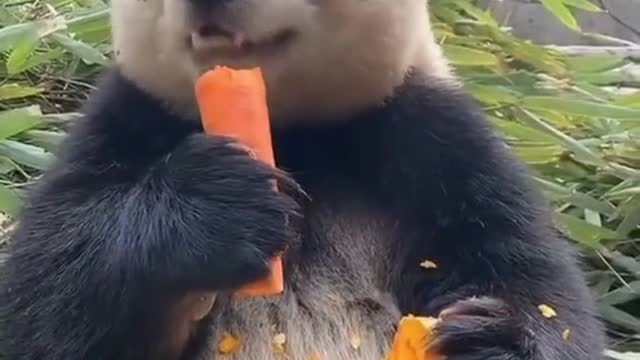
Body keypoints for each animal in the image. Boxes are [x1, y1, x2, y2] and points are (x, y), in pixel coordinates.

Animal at [0, 0, 604, 358]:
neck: (291, 129)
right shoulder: (125, 122)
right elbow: (46, 295)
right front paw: (222, 205)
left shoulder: (433, 139)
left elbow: (533, 278)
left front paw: (489, 336)